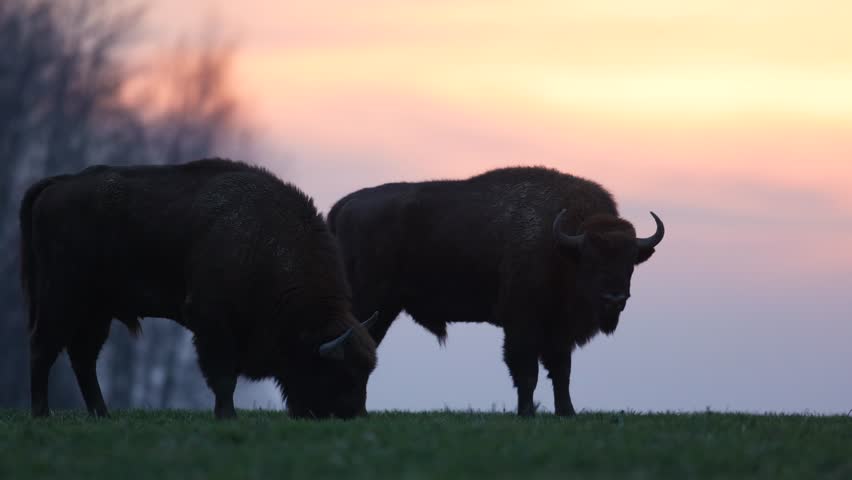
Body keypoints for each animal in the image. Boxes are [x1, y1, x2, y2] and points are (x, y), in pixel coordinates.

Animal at [20, 158, 378, 419]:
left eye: (366, 373)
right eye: (342, 374)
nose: (355, 416)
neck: (264, 242)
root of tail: (56, 185)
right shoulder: (212, 323)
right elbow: (223, 377)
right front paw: (227, 416)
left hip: (97, 312)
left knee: (83, 357)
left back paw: (102, 415)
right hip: (62, 299)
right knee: (43, 347)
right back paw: (42, 413)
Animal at [328, 166, 664, 416]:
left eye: (630, 261)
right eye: (591, 260)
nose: (614, 299)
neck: (561, 245)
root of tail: (343, 207)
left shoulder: (559, 329)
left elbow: (561, 370)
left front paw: (567, 412)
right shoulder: (522, 323)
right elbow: (527, 370)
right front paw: (526, 413)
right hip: (372, 304)